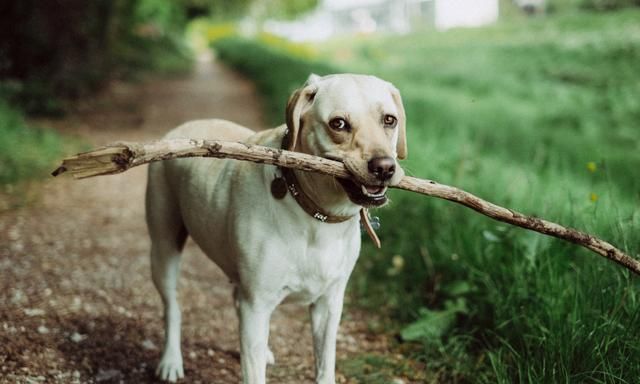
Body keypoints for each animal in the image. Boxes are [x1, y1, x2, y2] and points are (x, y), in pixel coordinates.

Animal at [145, 73, 404, 382]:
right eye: (338, 124)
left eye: (389, 120)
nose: (385, 167)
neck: (315, 215)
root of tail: (181, 128)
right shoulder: (257, 305)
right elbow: (253, 371)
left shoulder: (329, 304)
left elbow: (324, 364)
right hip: (164, 248)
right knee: (172, 306)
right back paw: (171, 361)